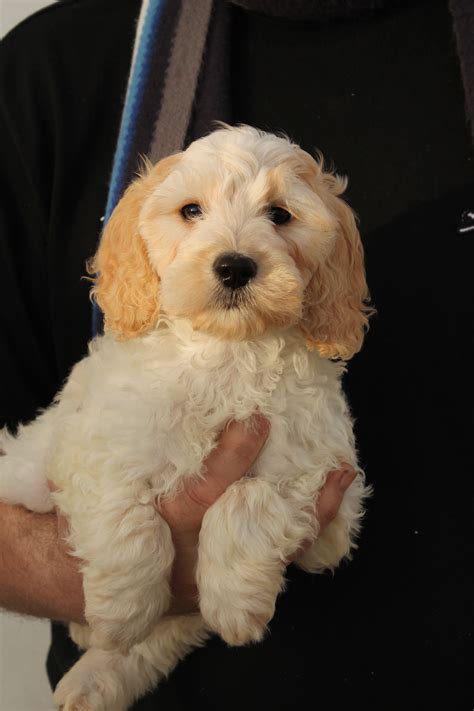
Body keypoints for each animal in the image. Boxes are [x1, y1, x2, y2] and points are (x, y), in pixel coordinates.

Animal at [0, 125, 370, 708]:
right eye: (191, 210)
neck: (226, 355)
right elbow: (129, 519)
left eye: (280, 215)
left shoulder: (330, 489)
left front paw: (236, 603)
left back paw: (93, 680)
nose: (235, 266)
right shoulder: (99, 444)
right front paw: (122, 612)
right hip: (24, 472)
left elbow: (250, 495)